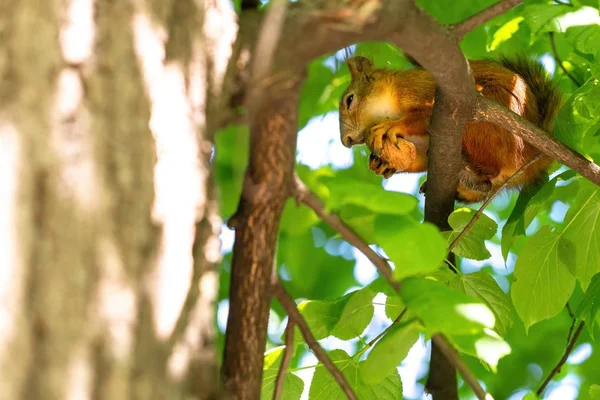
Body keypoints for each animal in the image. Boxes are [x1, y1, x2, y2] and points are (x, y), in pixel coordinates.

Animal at [338, 54, 564, 203]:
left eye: (350, 100)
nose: (346, 141)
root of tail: (530, 155)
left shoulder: (422, 92)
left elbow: (421, 115)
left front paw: (391, 125)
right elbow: (418, 154)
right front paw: (383, 164)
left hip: (483, 119)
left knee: (491, 167)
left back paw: (468, 166)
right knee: (486, 184)